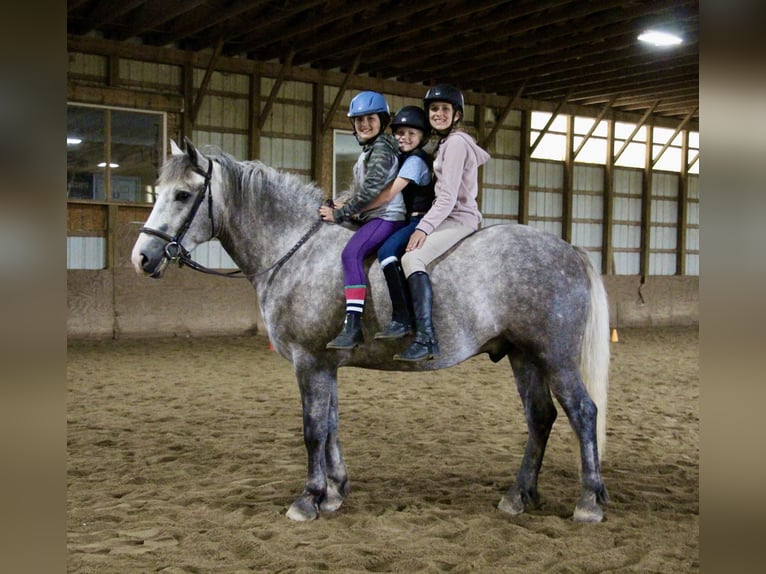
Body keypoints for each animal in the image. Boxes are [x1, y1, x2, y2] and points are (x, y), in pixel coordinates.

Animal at [132, 138, 612, 520]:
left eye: (182, 194)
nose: (142, 257)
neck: (295, 250)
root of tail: (569, 249)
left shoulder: (309, 362)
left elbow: (312, 430)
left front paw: (308, 499)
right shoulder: (325, 364)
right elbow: (331, 424)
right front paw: (334, 492)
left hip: (555, 357)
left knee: (582, 413)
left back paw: (588, 501)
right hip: (522, 355)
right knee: (541, 417)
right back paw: (519, 495)